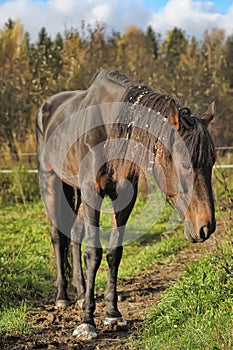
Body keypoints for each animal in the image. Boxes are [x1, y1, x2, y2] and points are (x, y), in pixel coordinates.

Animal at [35, 69, 216, 340]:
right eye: (185, 163)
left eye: (212, 161)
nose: (206, 227)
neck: (112, 128)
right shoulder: (92, 193)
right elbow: (93, 253)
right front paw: (87, 322)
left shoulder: (124, 197)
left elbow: (114, 252)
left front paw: (112, 313)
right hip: (52, 183)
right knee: (58, 236)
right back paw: (63, 297)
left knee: (75, 234)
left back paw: (81, 293)